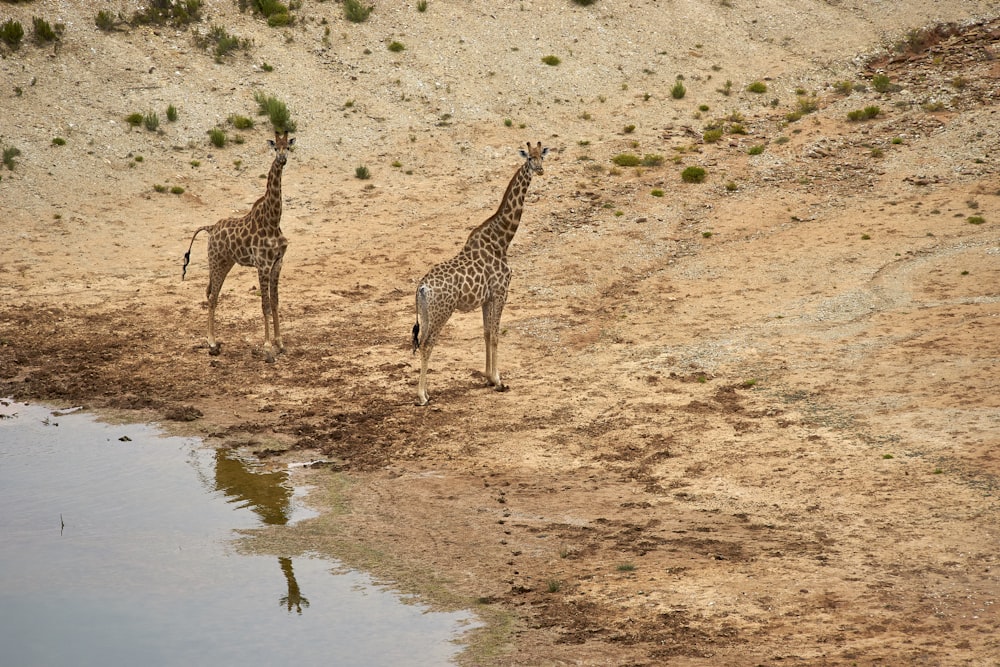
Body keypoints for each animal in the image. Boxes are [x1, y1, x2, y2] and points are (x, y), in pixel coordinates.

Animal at [182, 128, 294, 362]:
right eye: (275, 148)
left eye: (288, 147)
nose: (282, 159)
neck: (273, 221)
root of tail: (211, 228)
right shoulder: (262, 265)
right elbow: (265, 305)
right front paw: (268, 347)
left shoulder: (278, 263)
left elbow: (275, 302)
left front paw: (280, 344)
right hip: (216, 261)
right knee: (212, 297)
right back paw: (212, 342)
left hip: (226, 263)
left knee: (209, 292)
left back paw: (212, 340)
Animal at [414, 140, 556, 408]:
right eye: (529, 158)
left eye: (541, 157)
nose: (540, 170)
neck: (502, 241)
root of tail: (422, 288)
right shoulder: (501, 292)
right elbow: (497, 335)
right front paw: (499, 381)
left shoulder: (486, 298)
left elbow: (487, 333)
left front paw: (489, 378)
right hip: (442, 312)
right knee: (427, 345)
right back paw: (422, 396)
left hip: (427, 314)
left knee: (422, 344)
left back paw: (424, 392)